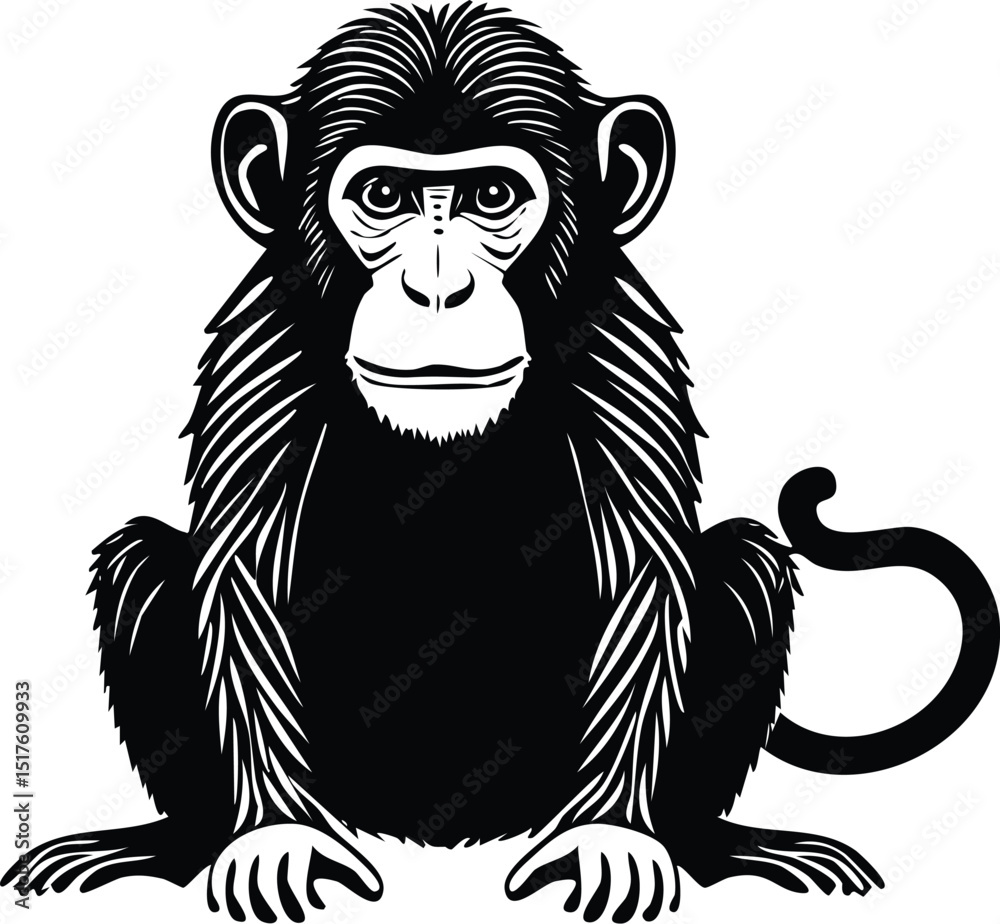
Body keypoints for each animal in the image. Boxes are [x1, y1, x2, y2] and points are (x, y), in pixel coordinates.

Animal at [6, 4, 996, 921]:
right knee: (142, 559)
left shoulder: (614, 329)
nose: (437, 287)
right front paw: (273, 837)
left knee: (746, 559)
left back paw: (711, 844)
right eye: (384, 196)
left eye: (489, 196)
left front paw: (612, 838)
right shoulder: (267, 332)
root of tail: (442, 838)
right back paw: (173, 843)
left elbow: (647, 569)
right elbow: (241, 565)